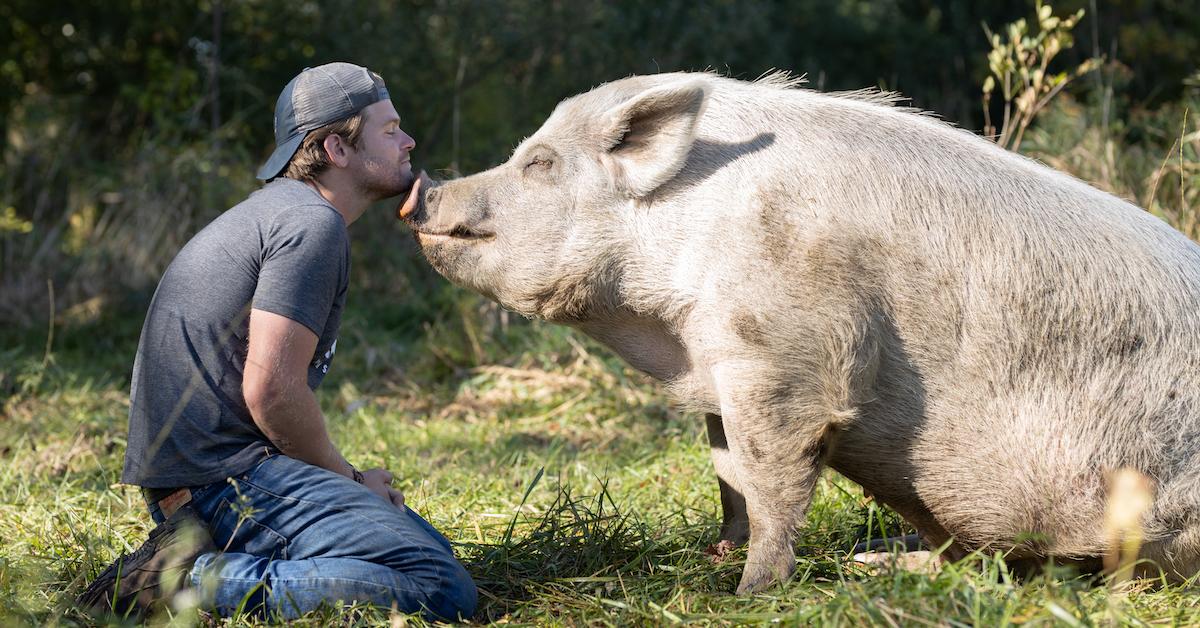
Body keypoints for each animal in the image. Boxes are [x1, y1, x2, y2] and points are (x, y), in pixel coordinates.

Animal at [400, 73, 1200, 595]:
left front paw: (750, 591)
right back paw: (875, 564)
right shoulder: (719, 368)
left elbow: (773, 473)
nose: (426, 191)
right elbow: (728, 470)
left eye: (539, 163)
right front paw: (716, 558)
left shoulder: (786, 351)